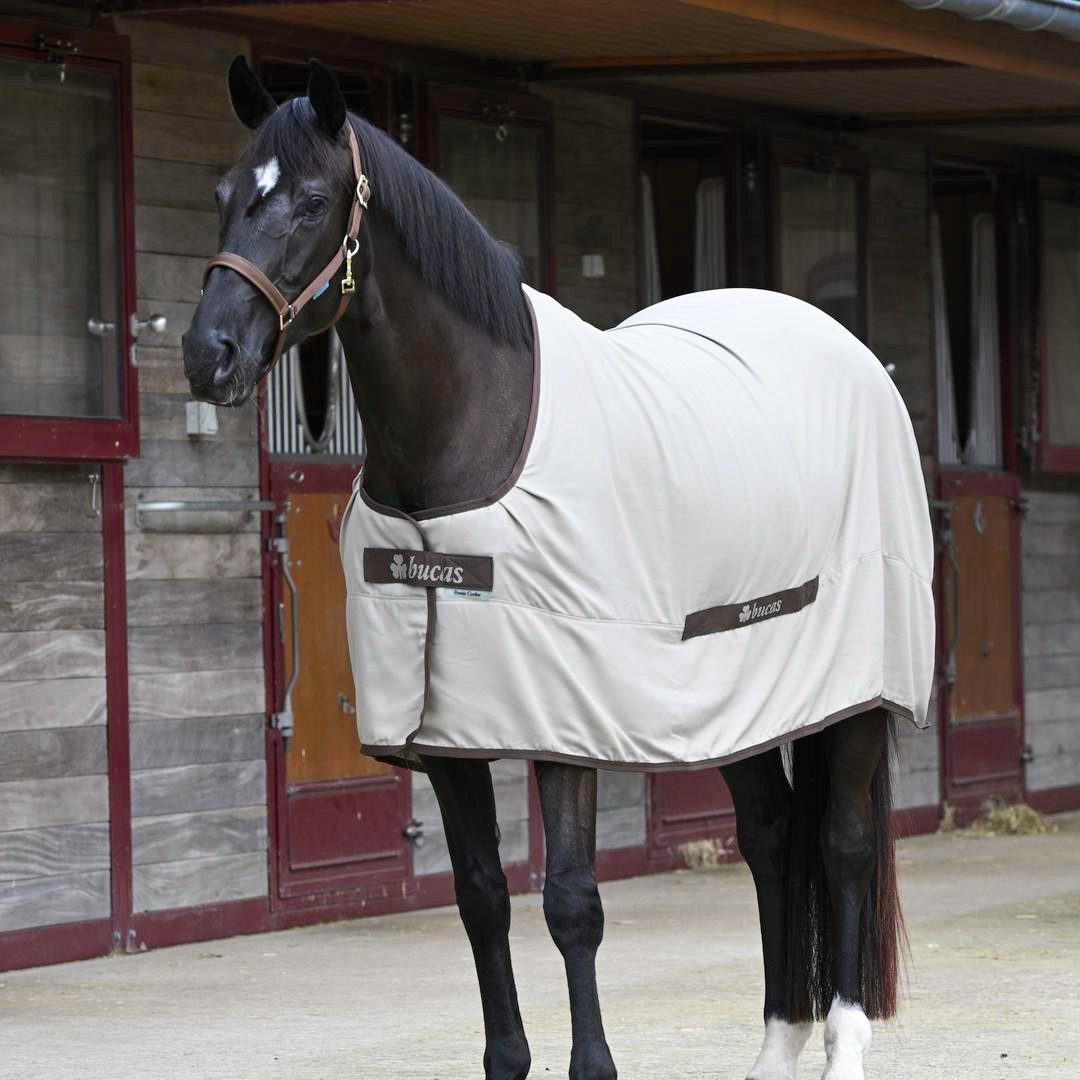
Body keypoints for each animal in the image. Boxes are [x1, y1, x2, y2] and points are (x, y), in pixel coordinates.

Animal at [183, 58, 934, 1080]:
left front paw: (594, 1065)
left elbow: (573, 901)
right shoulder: (449, 736)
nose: (207, 354)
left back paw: (842, 1046)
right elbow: (481, 896)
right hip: (739, 691)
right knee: (774, 839)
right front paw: (508, 1060)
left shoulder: (564, 721)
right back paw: (775, 1045)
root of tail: (854, 353)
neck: (467, 442)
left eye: (307, 201)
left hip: (855, 690)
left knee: (845, 844)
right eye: (224, 195)